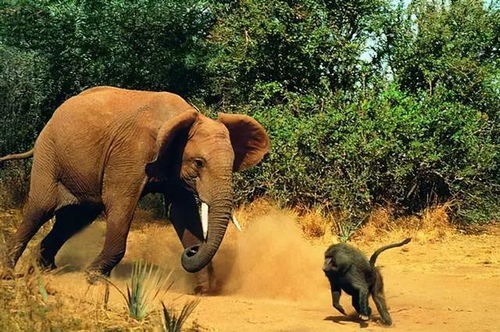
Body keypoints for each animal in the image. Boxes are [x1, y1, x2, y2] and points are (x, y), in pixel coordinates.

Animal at [1, 84, 270, 292]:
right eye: (199, 163)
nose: (194, 250)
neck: (178, 117)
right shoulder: (131, 153)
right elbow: (121, 203)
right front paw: (93, 277)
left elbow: (181, 213)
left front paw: (203, 289)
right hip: (49, 155)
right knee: (40, 210)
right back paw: (10, 272)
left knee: (74, 219)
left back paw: (46, 269)